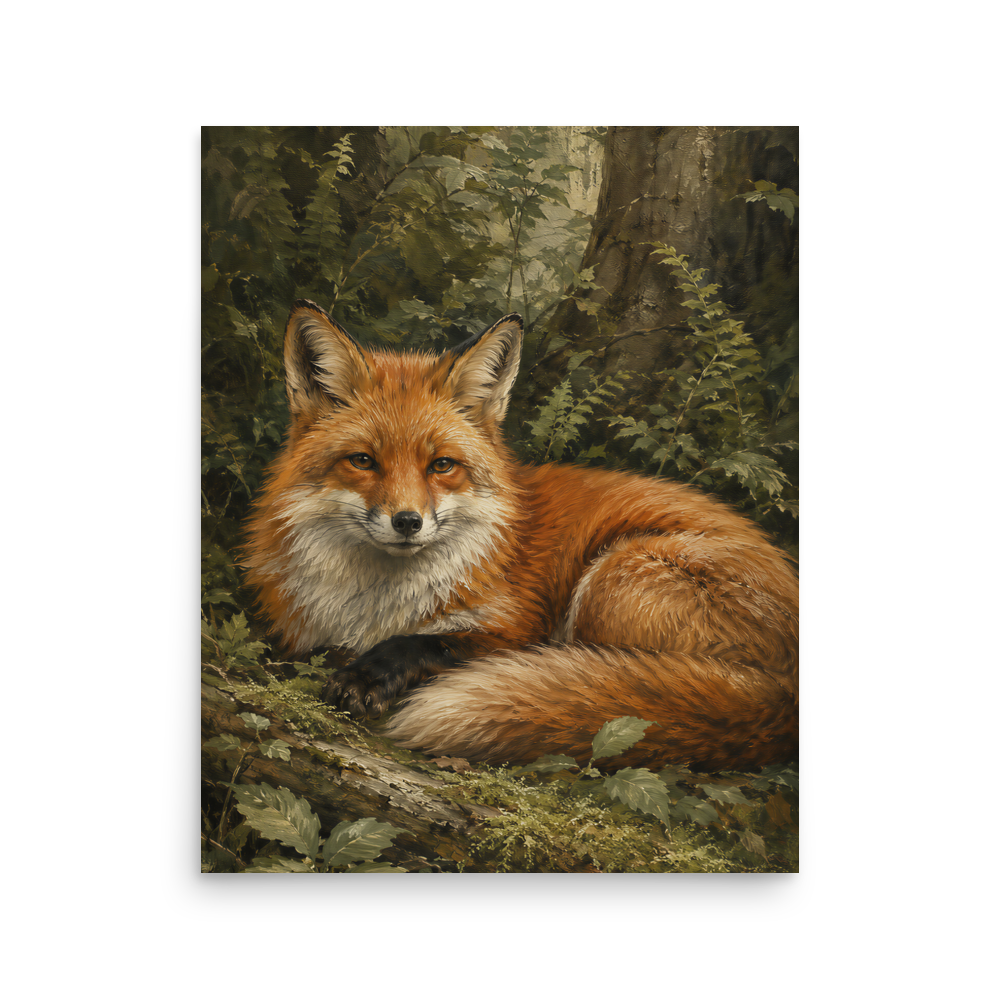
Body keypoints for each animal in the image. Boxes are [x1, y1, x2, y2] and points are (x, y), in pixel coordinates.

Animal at [244, 299, 799, 772]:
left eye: (442, 465)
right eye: (362, 461)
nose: (407, 522)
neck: (374, 605)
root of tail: (786, 697)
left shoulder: (515, 629)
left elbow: (432, 644)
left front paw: (367, 675)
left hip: (612, 578)